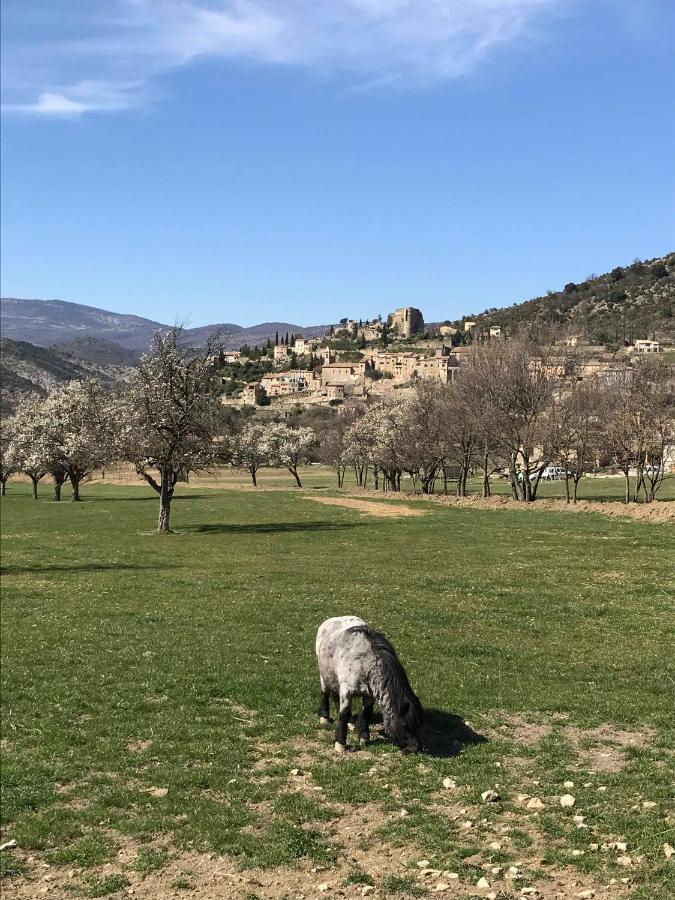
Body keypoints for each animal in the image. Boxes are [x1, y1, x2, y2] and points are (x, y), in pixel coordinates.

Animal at [316, 620, 422, 752]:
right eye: (405, 725)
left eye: (419, 724)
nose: (416, 748)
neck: (365, 663)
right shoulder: (346, 691)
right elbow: (343, 714)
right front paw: (340, 744)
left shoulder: (370, 695)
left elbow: (365, 713)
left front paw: (364, 738)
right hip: (324, 675)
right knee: (325, 692)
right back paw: (324, 718)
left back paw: (351, 723)